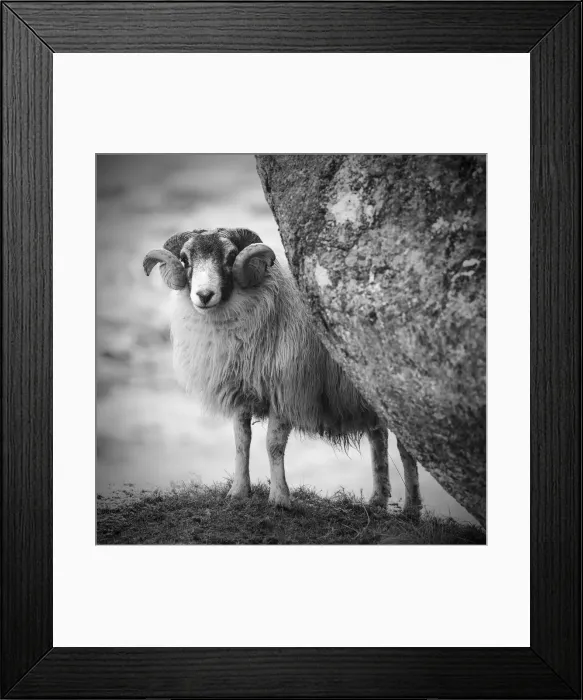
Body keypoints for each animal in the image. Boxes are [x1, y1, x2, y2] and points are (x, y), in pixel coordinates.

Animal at [143, 227, 422, 514]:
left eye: (230, 257)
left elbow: (273, 446)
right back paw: (378, 500)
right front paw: (238, 493)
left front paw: (279, 499)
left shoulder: (287, 391)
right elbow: (241, 443)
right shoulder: (242, 393)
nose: (204, 295)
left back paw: (411, 508)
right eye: (186, 259)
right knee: (379, 437)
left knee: (405, 449)